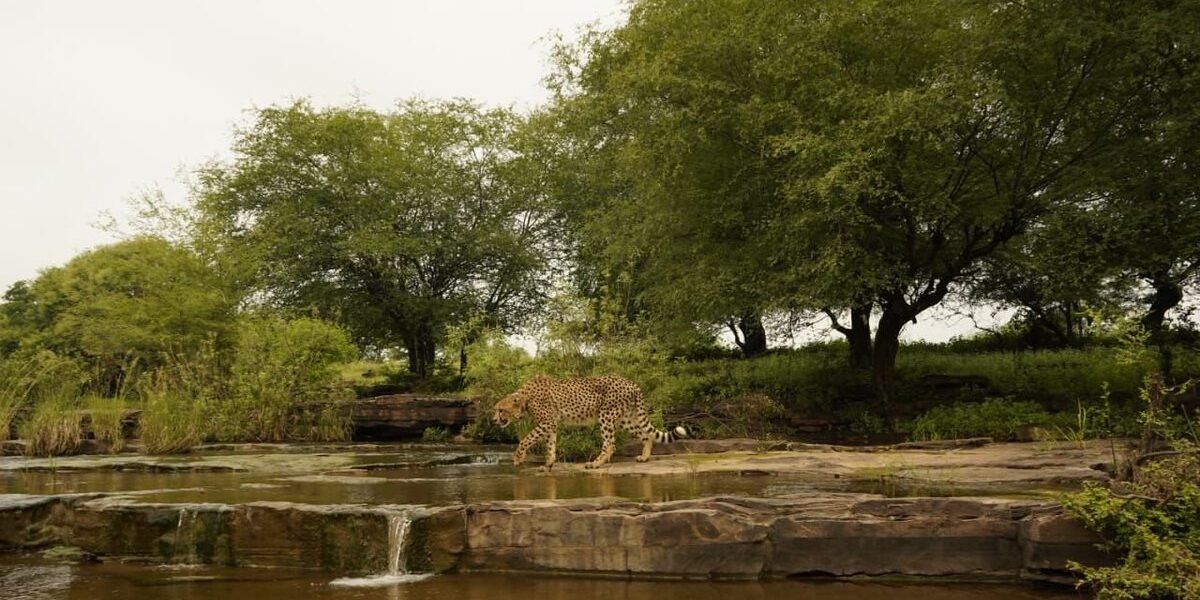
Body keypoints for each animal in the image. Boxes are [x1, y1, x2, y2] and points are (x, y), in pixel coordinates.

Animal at [491, 373, 688, 470]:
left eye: (501, 410)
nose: (494, 420)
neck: (525, 398)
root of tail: (632, 383)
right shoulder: (551, 424)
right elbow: (550, 444)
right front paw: (548, 464)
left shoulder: (547, 422)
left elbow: (526, 439)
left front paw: (518, 458)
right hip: (624, 419)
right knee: (646, 435)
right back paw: (644, 457)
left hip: (606, 415)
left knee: (610, 443)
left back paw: (595, 463)